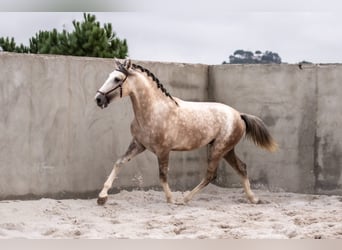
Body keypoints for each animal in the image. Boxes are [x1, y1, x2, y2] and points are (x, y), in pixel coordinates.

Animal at [94, 58, 278, 205]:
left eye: (117, 79)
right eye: (109, 76)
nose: (98, 99)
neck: (153, 110)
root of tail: (239, 115)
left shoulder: (163, 150)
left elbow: (162, 176)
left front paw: (171, 199)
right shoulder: (139, 145)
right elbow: (119, 162)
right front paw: (102, 197)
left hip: (219, 149)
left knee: (211, 175)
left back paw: (185, 199)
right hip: (227, 150)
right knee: (242, 168)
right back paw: (253, 199)